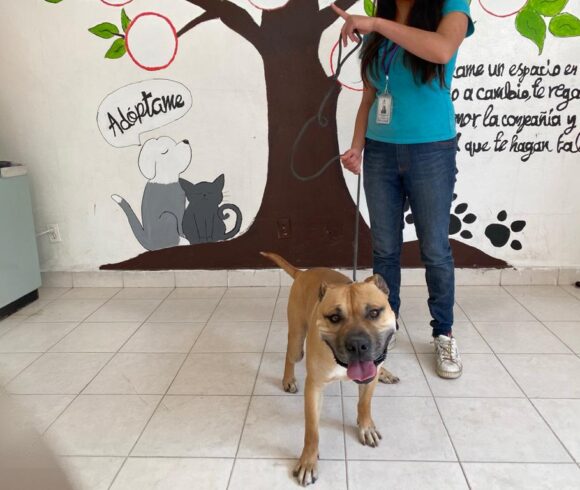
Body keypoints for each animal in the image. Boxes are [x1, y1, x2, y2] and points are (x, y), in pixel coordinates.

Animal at [261, 252, 398, 486]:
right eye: (334, 318)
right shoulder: (314, 388)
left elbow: (364, 404)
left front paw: (366, 426)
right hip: (297, 339)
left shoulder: (368, 380)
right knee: (290, 355)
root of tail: (302, 273)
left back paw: (385, 372)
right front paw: (308, 461)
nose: (357, 344)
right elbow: (312, 430)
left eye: (373, 312)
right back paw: (288, 379)